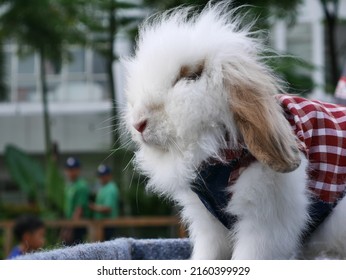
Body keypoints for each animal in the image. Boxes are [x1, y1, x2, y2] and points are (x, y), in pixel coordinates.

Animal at [123, 2, 346, 260]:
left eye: (191, 76)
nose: (138, 123)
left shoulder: (265, 224)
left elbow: (248, 257)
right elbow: (206, 255)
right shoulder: (209, 227)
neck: (221, 157)